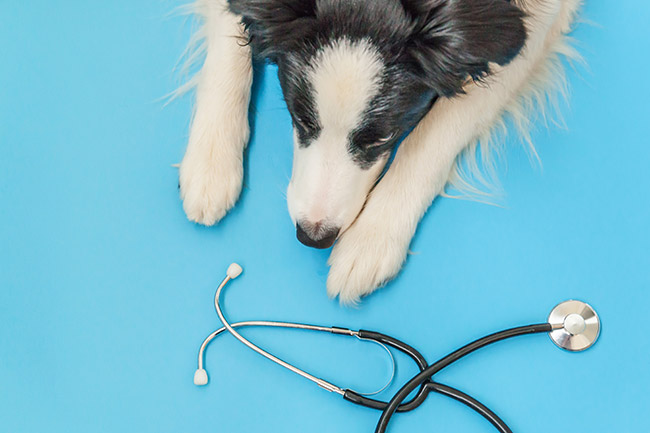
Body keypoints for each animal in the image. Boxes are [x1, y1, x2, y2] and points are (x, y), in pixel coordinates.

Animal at [176, 0, 576, 302]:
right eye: (300, 119)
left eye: (381, 141)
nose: (313, 237)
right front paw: (210, 162)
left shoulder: (536, 22)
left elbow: (439, 129)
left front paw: (370, 238)